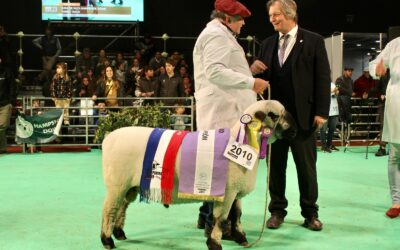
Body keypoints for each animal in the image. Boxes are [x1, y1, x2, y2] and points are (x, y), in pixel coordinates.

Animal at [100, 98, 296, 249]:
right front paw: (215, 243)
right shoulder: (226, 193)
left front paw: (241, 238)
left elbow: (237, 215)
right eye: (274, 115)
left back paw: (119, 233)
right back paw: (107, 241)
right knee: (110, 209)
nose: (295, 130)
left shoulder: (235, 191)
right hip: (117, 184)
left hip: (130, 186)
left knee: (122, 207)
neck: (242, 142)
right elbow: (221, 219)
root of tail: (108, 138)